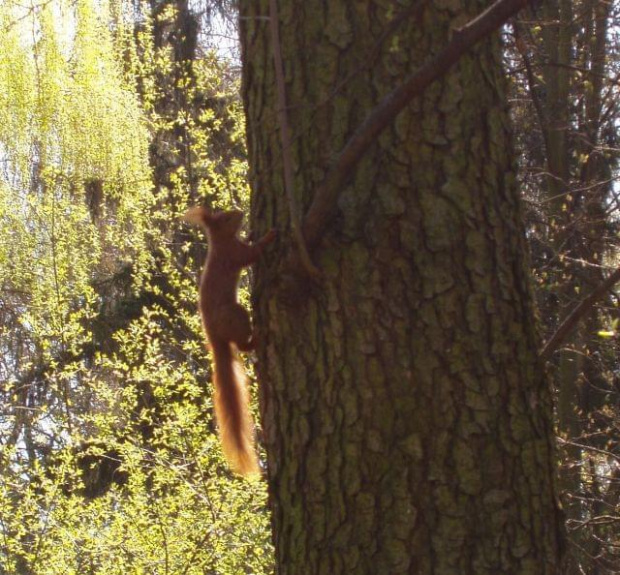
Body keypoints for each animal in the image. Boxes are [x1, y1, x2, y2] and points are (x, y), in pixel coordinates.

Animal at [184, 205, 276, 474]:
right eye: (225, 217)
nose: (240, 213)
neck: (220, 242)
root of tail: (215, 339)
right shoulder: (235, 254)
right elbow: (253, 253)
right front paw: (269, 235)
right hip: (236, 315)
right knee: (242, 345)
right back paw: (255, 339)